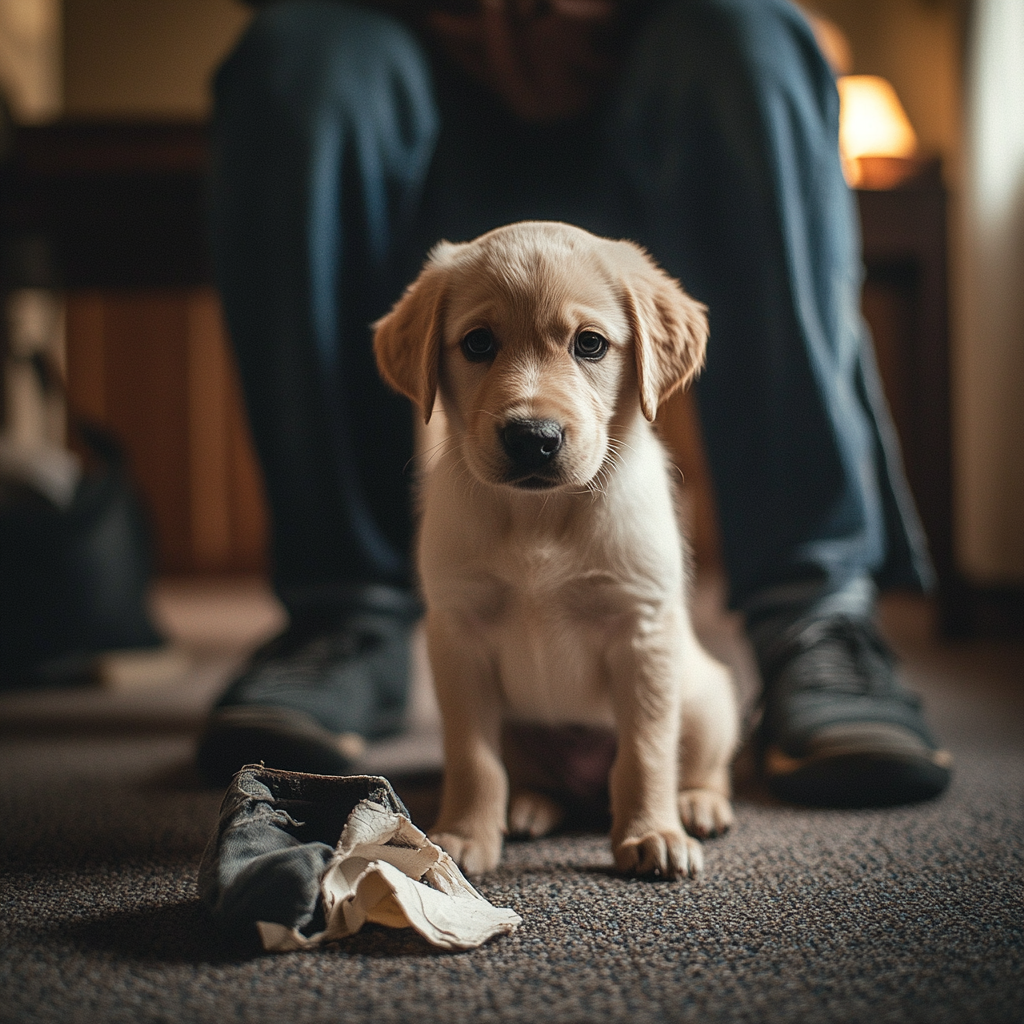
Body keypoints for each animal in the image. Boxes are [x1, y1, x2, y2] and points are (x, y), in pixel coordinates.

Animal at [374, 222, 737, 880]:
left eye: (590, 344)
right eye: (478, 343)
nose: (532, 439)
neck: (538, 517)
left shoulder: (642, 631)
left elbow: (646, 753)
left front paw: (651, 833)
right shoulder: (458, 637)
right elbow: (472, 758)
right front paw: (463, 836)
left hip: (706, 697)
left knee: (699, 763)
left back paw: (698, 805)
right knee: (531, 776)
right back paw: (531, 806)